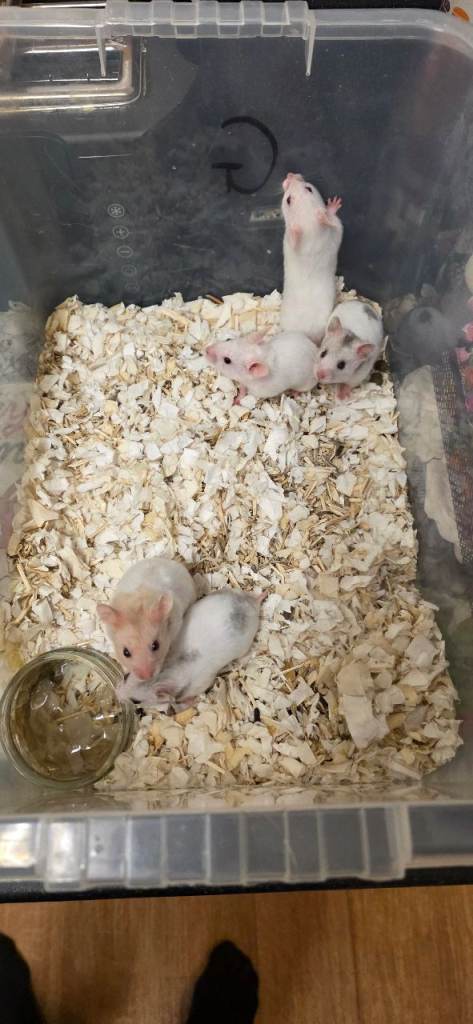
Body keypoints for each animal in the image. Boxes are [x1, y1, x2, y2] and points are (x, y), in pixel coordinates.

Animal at [116, 590, 264, 708]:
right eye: (126, 676)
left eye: (135, 701)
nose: (116, 695)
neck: (167, 670)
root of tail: (251, 604)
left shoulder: (199, 685)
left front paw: (189, 702)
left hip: (244, 645)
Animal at [280, 172, 343, 343]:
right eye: (289, 200)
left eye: (308, 188)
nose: (290, 174)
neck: (310, 227)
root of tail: (305, 334)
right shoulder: (334, 231)